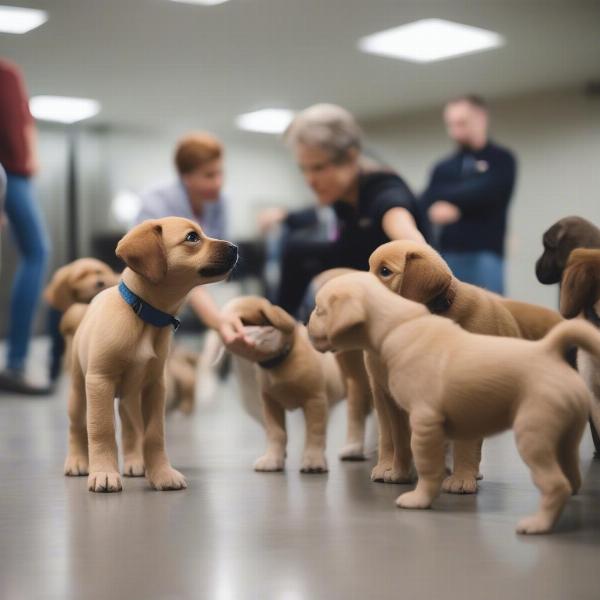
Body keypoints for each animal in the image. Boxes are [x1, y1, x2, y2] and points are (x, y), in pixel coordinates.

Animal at [63, 217, 237, 492]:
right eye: (192, 237)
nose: (235, 248)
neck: (141, 314)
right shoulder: (100, 382)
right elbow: (101, 430)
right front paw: (104, 473)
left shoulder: (155, 387)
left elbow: (154, 434)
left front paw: (162, 474)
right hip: (79, 391)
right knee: (77, 427)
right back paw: (77, 461)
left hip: (130, 397)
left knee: (131, 429)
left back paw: (135, 462)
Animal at [310, 274, 596, 536]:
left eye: (320, 309)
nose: (305, 323)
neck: (398, 326)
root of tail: (548, 352)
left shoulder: (424, 422)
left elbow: (428, 467)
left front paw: (420, 499)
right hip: (565, 437)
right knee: (571, 476)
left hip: (533, 436)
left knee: (556, 484)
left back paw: (537, 525)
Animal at [368, 241, 564, 494]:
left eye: (385, 271)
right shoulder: (387, 395)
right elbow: (395, 438)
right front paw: (396, 471)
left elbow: (466, 444)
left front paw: (461, 478)